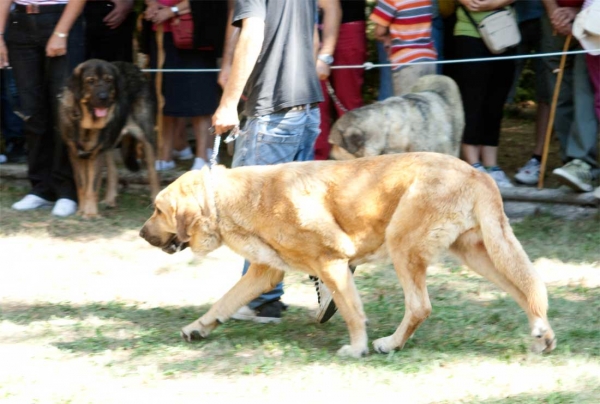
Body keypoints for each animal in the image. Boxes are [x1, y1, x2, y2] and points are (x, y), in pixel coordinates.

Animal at [58, 58, 159, 218]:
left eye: (109, 80)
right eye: (90, 81)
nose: (103, 97)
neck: (86, 123)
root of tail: (135, 67)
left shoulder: (96, 154)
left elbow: (92, 187)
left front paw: (90, 214)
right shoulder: (75, 153)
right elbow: (82, 185)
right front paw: (81, 211)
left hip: (146, 135)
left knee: (153, 172)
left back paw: (156, 200)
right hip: (109, 144)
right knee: (113, 172)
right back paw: (109, 200)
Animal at [138, 153, 556, 358]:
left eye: (157, 210)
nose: (141, 234)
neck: (228, 200)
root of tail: (476, 173)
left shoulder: (332, 264)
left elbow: (353, 312)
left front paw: (356, 348)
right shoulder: (264, 272)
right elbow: (223, 302)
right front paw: (198, 328)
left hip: (404, 244)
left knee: (420, 306)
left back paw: (390, 344)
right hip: (480, 253)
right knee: (528, 288)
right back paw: (542, 336)